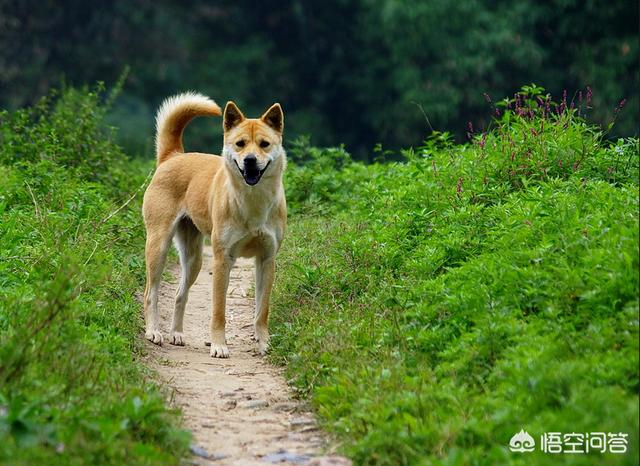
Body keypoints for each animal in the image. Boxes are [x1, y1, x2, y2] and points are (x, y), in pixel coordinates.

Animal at [144, 93, 288, 356]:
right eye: (240, 143)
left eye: (264, 144)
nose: (250, 161)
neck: (252, 202)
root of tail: (174, 156)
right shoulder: (223, 260)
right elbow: (218, 311)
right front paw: (219, 345)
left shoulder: (267, 259)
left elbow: (262, 310)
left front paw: (264, 343)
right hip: (158, 246)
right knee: (151, 292)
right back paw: (153, 331)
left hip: (194, 259)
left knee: (180, 295)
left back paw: (176, 334)